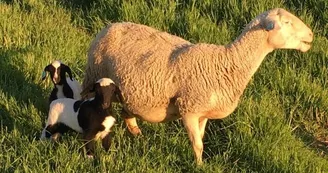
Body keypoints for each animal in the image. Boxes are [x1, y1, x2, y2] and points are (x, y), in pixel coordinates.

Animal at [80, 8, 312, 165]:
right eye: (287, 22)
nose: (311, 35)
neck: (228, 63)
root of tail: (110, 26)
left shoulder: (203, 113)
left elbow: (200, 139)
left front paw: (200, 163)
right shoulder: (189, 110)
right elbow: (197, 144)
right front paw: (199, 166)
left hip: (128, 90)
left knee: (127, 112)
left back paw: (137, 134)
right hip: (92, 75)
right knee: (82, 102)